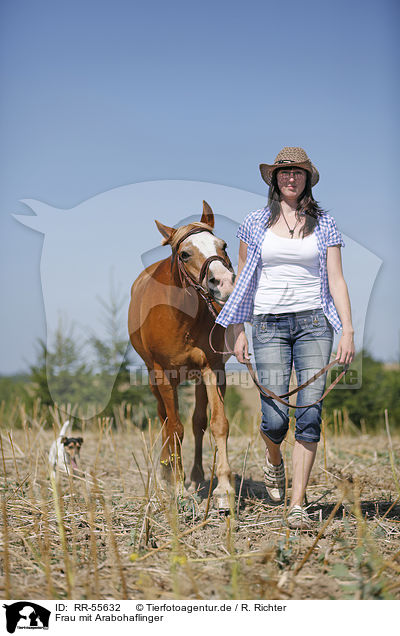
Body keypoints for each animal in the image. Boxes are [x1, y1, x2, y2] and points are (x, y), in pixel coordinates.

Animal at [129, 201, 238, 510]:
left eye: (223, 245)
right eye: (185, 253)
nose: (224, 283)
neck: (182, 316)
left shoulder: (213, 369)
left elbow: (217, 424)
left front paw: (223, 489)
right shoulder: (163, 374)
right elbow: (174, 428)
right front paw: (176, 487)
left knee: (197, 422)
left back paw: (197, 477)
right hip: (156, 379)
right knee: (165, 420)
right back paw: (168, 472)